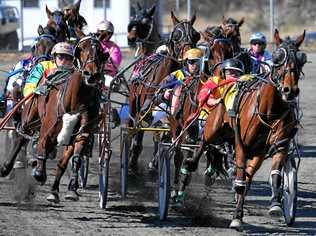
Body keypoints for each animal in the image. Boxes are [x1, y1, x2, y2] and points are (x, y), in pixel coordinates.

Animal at [128, 11, 200, 173]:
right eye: (176, 36)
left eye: (196, 35)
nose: (190, 56)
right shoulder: (145, 112)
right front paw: (133, 161)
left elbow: (165, 137)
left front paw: (155, 162)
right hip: (133, 103)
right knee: (134, 127)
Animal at [180, 28, 306, 230]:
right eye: (278, 58)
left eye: (301, 59)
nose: (290, 90)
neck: (268, 110)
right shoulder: (242, 145)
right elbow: (240, 182)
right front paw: (237, 218)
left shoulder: (278, 145)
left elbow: (273, 176)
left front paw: (276, 204)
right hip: (212, 129)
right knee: (201, 147)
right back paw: (185, 178)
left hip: (256, 152)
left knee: (246, 176)